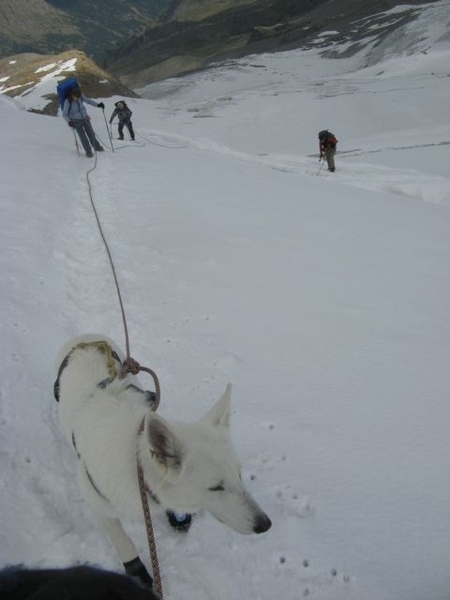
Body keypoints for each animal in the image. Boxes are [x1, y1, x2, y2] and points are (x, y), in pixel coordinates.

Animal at [53, 336, 270, 588]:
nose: (265, 524)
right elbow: (122, 539)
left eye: (239, 474)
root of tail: (86, 340)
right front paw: (136, 570)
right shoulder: (96, 500)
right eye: (216, 487)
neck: (137, 465)